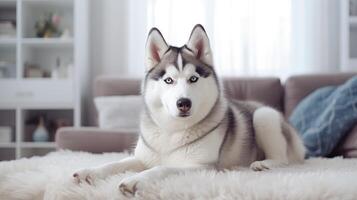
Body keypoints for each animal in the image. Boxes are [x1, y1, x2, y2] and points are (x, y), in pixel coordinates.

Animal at [73, 24, 304, 196]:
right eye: (168, 80)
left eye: (193, 79)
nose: (183, 102)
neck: (171, 130)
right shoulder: (142, 158)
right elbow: (116, 163)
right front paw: (90, 172)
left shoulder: (203, 167)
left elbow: (162, 167)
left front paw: (135, 180)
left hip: (265, 117)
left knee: (285, 160)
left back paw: (265, 164)